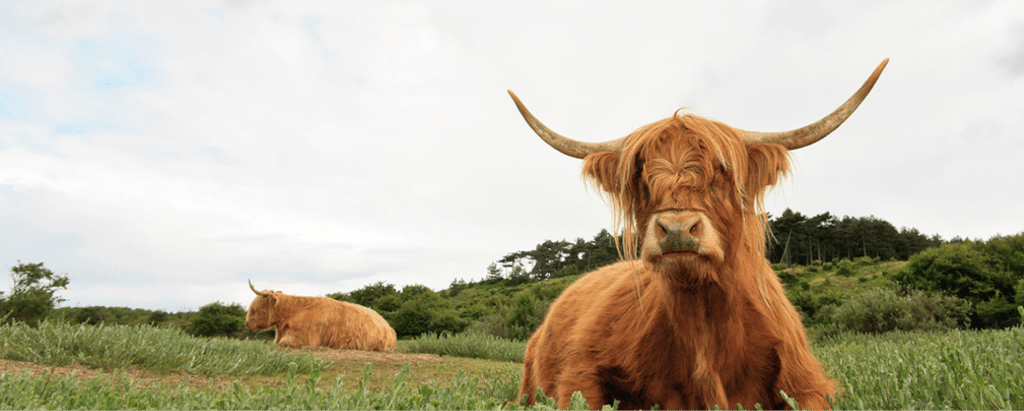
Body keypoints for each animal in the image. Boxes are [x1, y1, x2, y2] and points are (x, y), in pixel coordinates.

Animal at [507, 59, 888, 410]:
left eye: (721, 172)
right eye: (643, 179)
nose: (677, 229)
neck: (705, 325)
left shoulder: (807, 382)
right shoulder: (580, 372)